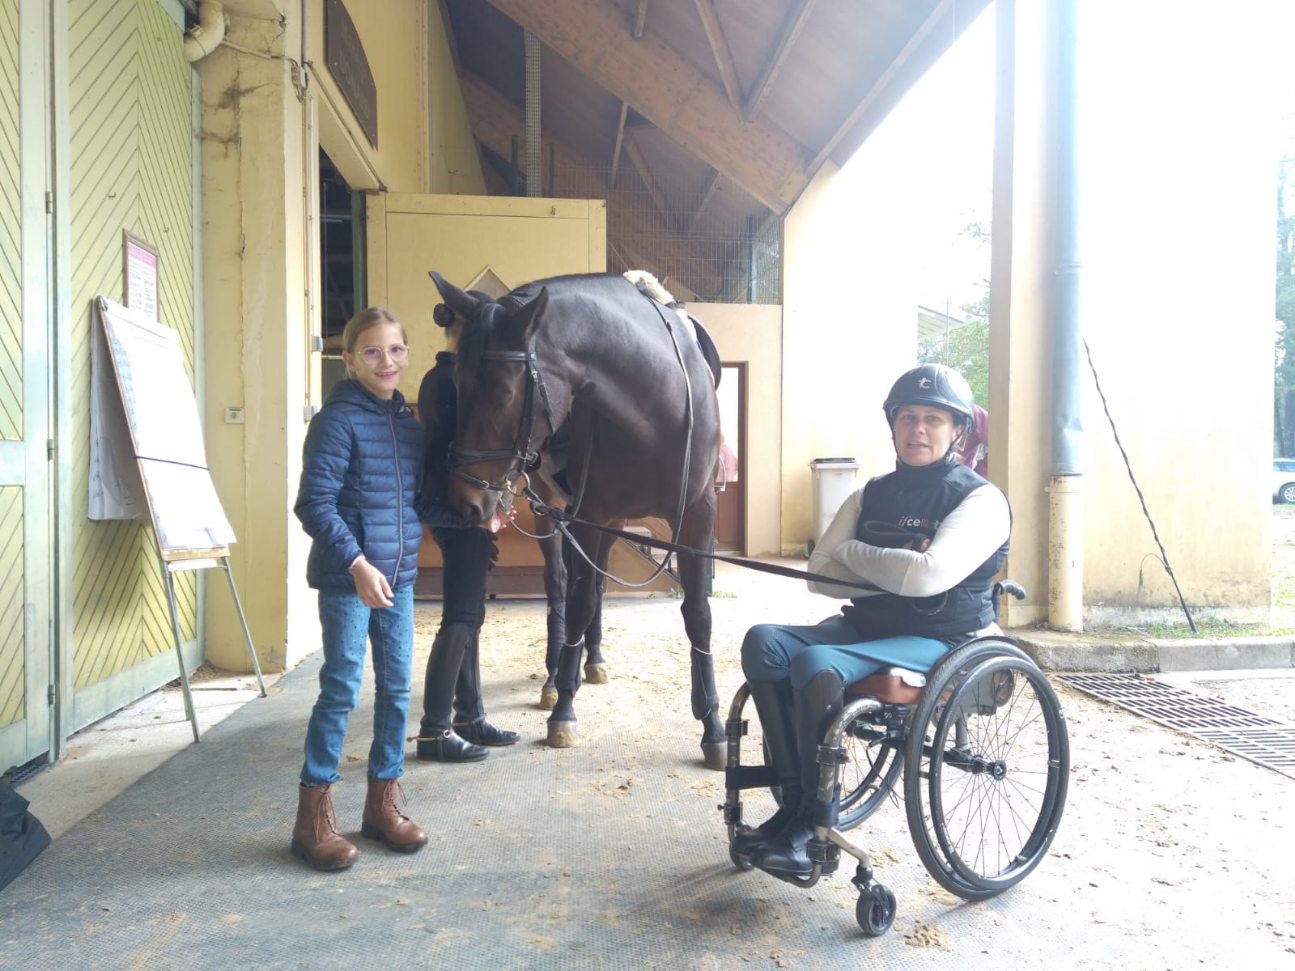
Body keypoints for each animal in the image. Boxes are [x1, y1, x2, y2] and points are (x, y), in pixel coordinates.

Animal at [427, 270, 725, 771]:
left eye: (503, 394)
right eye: (458, 388)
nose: (466, 500)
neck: (656, 403)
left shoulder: (696, 517)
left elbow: (699, 614)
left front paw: (713, 725)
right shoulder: (591, 514)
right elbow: (580, 602)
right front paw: (564, 708)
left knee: (596, 586)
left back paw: (593, 659)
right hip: (554, 512)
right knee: (562, 585)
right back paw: (555, 676)